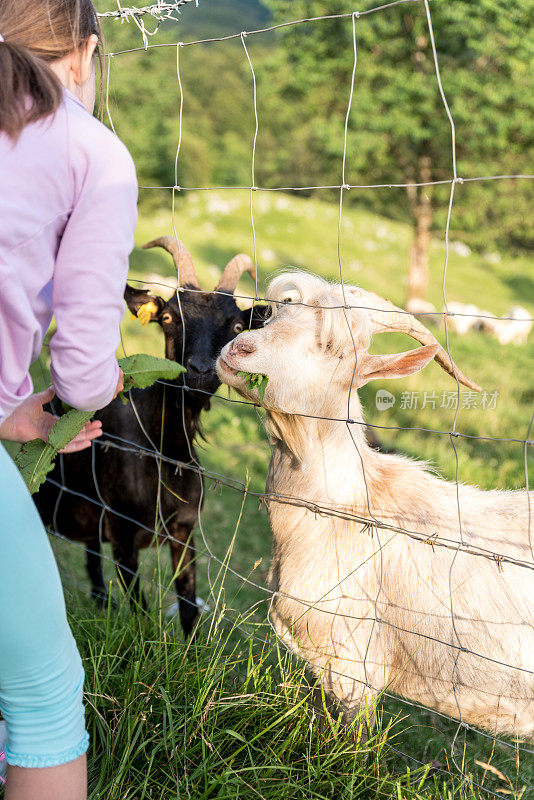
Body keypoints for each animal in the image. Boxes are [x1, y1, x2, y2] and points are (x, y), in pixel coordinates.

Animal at [35, 238, 266, 636]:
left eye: (237, 325)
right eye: (169, 318)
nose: (199, 370)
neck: (164, 454)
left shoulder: (184, 531)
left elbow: (188, 607)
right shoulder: (123, 535)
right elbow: (141, 617)